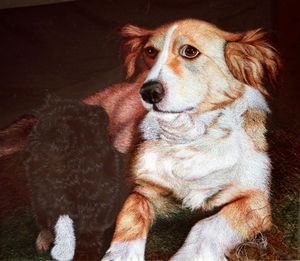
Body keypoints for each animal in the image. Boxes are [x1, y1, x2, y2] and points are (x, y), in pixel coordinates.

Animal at [101, 18, 282, 260]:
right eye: (150, 51)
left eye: (189, 51)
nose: (148, 92)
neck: (189, 136)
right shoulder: (143, 191)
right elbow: (131, 217)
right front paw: (120, 255)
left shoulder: (256, 200)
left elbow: (206, 226)